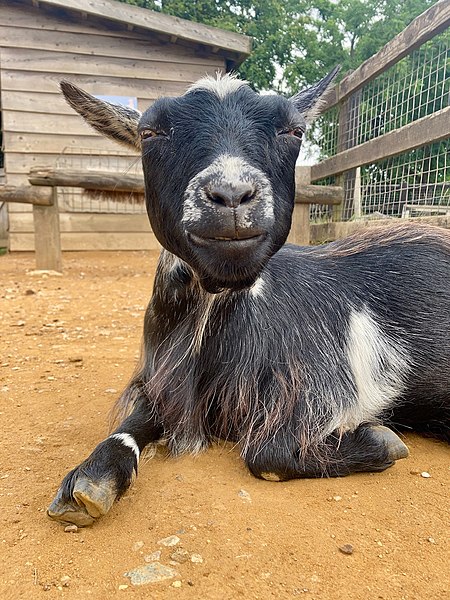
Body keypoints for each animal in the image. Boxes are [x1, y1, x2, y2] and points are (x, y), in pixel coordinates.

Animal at [47, 72, 448, 528]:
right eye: (150, 132)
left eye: (294, 131)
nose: (232, 195)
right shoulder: (159, 382)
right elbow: (134, 423)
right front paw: (91, 478)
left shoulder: (321, 383)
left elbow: (266, 455)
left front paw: (380, 440)